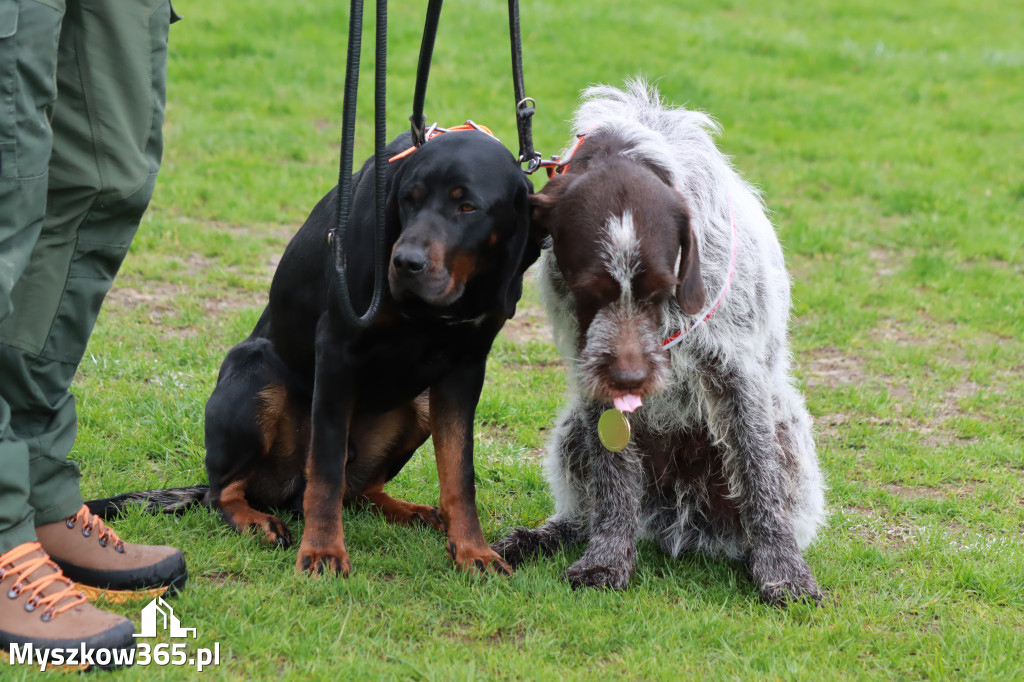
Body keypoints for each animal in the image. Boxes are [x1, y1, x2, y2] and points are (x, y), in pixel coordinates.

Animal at [92, 127, 540, 573]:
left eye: (468, 207)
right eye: (408, 199)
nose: (405, 262)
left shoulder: (466, 368)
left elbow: (459, 474)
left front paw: (474, 552)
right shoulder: (338, 350)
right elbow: (325, 472)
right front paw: (324, 551)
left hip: (421, 405)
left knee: (360, 492)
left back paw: (411, 511)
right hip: (255, 375)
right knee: (223, 493)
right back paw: (256, 521)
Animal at [491, 80, 827, 606]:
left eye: (662, 287)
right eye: (589, 293)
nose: (630, 376)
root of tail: (676, 524)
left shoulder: (737, 371)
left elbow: (759, 476)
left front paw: (782, 569)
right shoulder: (592, 372)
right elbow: (612, 484)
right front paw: (607, 559)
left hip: (784, 424)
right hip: (573, 430)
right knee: (589, 511)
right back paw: (546, 536)